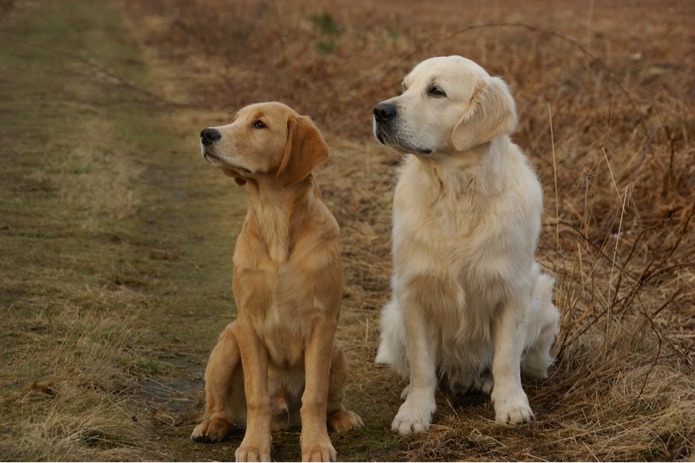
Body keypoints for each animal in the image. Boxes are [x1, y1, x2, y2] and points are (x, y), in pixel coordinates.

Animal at [192, 103, 364, 462]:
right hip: (226, 345)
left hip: (337, 352)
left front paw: (316, 445)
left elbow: (315, 396)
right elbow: (256, 396)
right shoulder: (248, 323)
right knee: (222, 408)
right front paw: (254, 446)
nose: (206, 134)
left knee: (329, 403)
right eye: (236, 119)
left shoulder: (322, 323)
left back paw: (342, 418)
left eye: (259, 124)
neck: (274, 220)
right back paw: (212, 425)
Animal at [372, 57, 564, 436]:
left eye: (436, 91)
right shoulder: (414, 292)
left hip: (543, 306)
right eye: (405, 87)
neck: (456, 194)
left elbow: (506, 359)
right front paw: (415, 411)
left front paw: (511, 404)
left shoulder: (513, 291)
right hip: (393, 318)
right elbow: (422, 367)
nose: (379, 111)